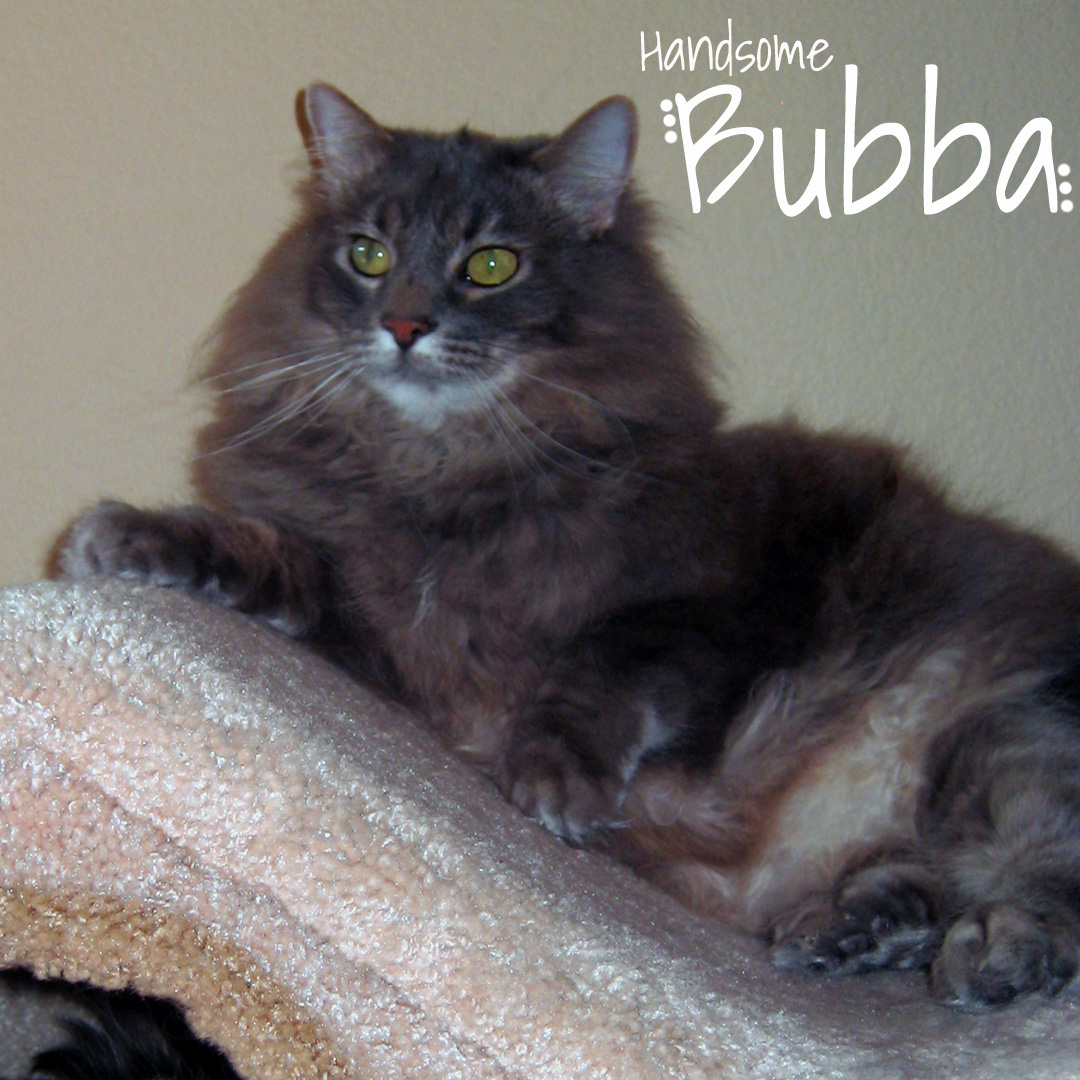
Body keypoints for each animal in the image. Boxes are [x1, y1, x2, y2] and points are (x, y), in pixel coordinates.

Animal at [49, 84, 1080, 1027]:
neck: (441, 472)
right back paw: (847, 934)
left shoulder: (706, 608)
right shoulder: (370, 624)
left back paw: (988, 955)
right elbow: (256, 550)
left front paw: (557, 780)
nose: (405, 325)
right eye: (368, 255)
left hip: (1003, 738)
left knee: (1038, 879)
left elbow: (598, 663)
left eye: (491, 265)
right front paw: (122, 537)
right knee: (921, 884)